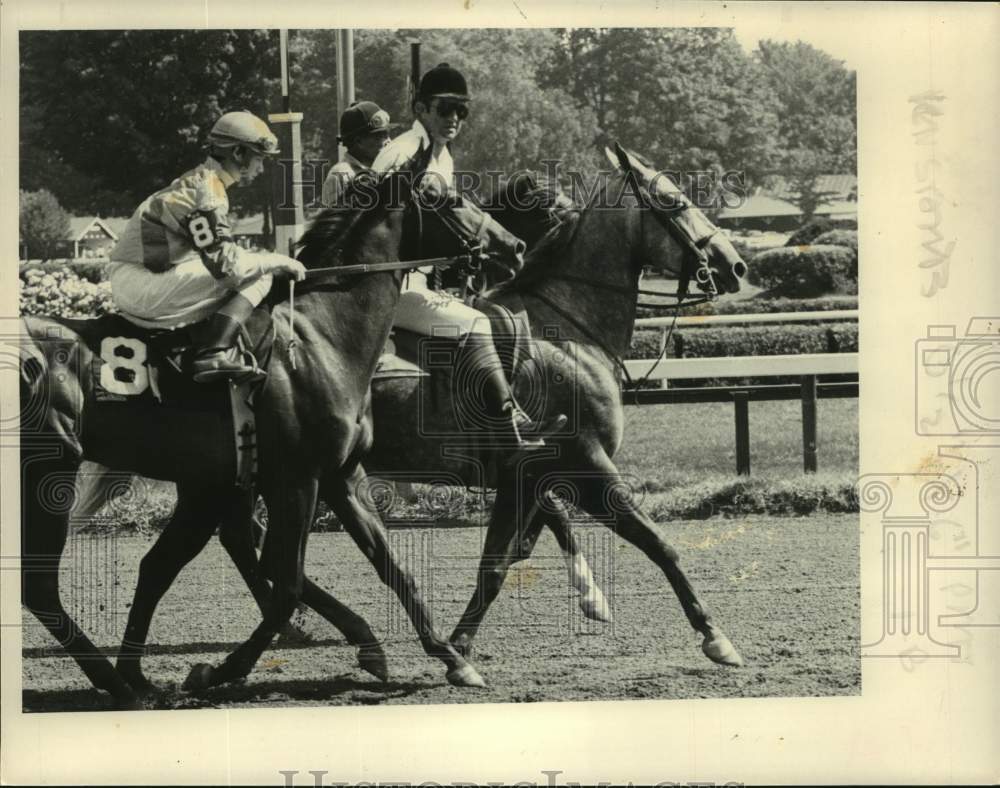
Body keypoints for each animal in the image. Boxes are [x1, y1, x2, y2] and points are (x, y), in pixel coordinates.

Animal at [19, 148, 528, 708]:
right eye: (445, 197)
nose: (514, 247)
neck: (322, 336)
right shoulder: (296, 479)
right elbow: (285, 584)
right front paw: (217, 670)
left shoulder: (339, 475)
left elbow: (394, 568)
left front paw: (453, 659)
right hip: (51, 471)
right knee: (40, 587)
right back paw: (117, 683)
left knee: (157, 566)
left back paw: (132, 680)